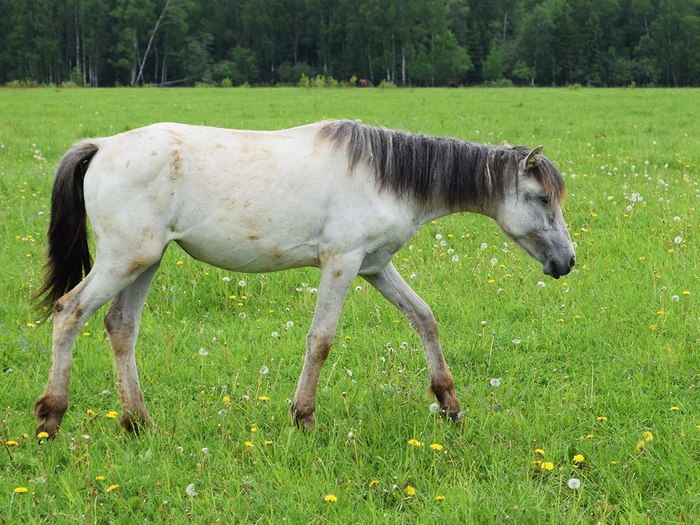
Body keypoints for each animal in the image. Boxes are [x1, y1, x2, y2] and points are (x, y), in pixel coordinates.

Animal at [32, 118, 576, 434]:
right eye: (541, 198)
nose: (567, 261)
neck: (385, 175)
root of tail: (102, 146)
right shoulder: (342, 263)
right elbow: (321, 340)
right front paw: (304, 417)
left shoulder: (375, 267)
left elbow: (424, 318)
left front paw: (448, 403)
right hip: (123, 260)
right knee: (69, 313)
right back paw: (51, 417)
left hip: (146, 262)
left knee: (120, 328)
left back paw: (138, 422)